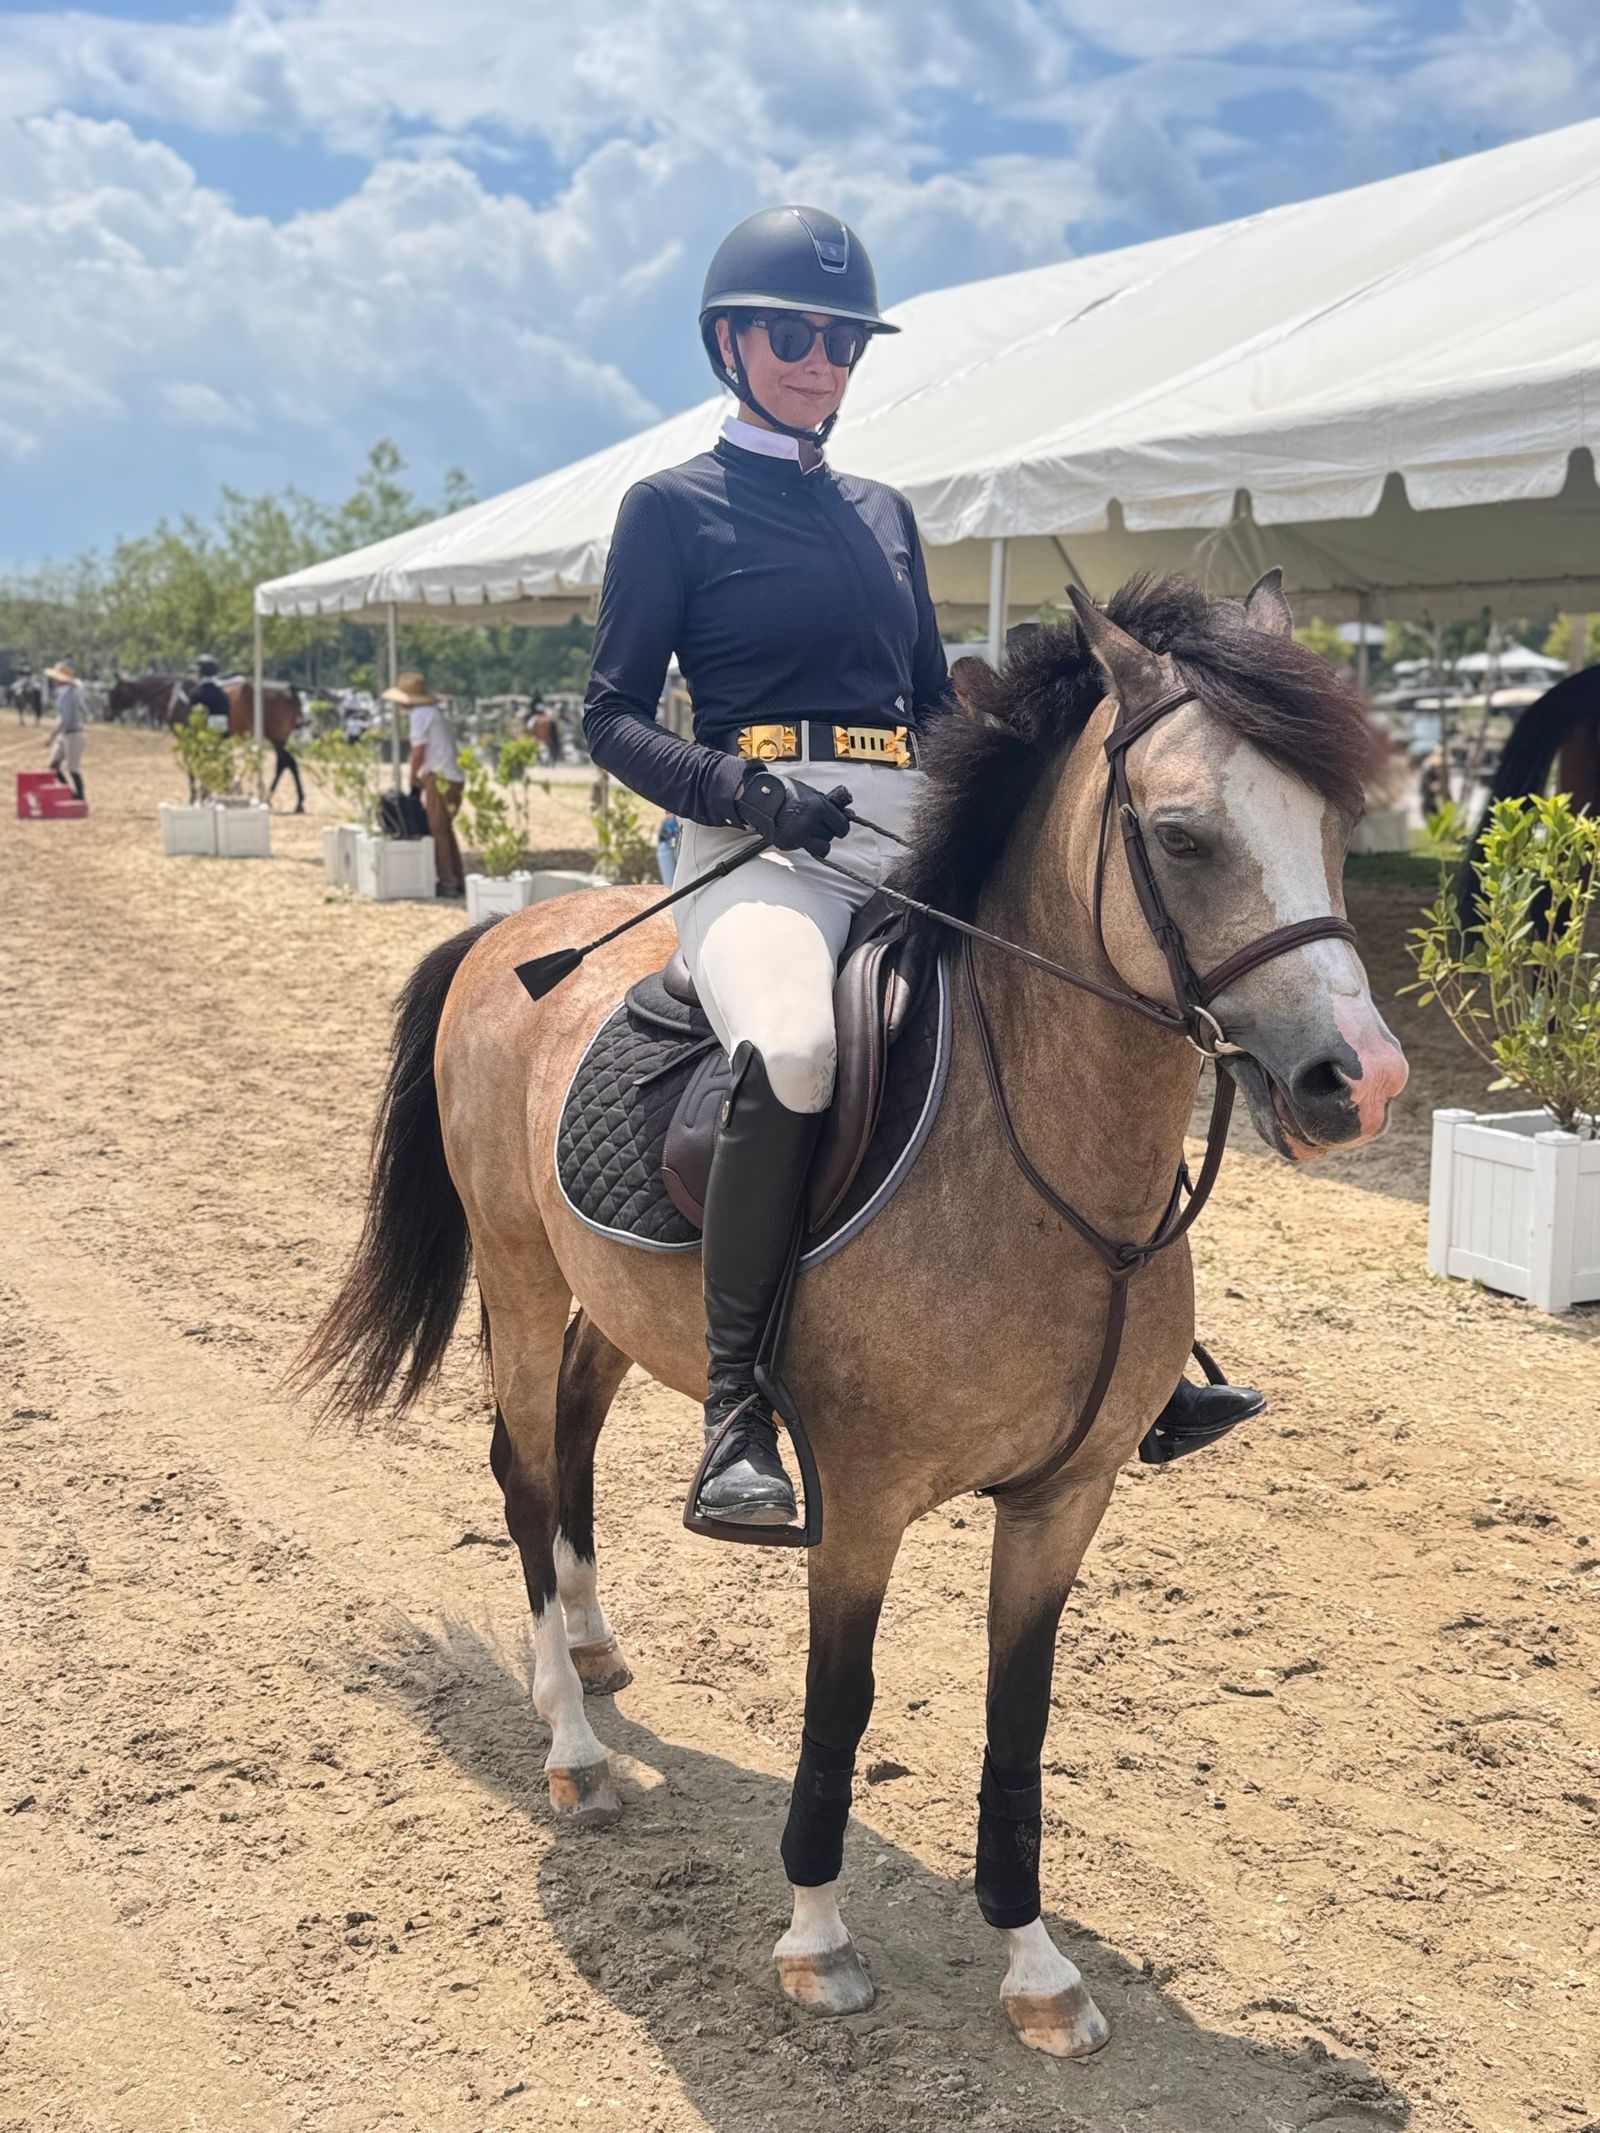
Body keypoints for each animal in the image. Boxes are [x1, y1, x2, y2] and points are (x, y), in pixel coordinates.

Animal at [298, 572, 1408, 2061]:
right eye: (1182, 836)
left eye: (1338, 827)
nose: (1361, 1082)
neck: (1042, 1167)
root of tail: (513, 936)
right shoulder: (862, 1503)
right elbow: (843, 1703)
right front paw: (816, 1940)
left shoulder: (1065, 1500)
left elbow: (1019, 1721)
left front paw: (1036, 1963)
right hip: (523, 1274)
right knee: (524, 1468)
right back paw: (573, 1747)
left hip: (606, 1301)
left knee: (572, 1445)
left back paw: (587, 1653)